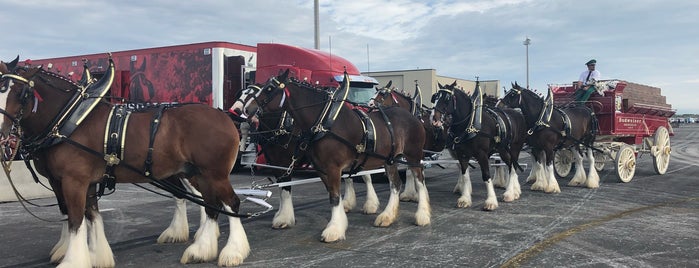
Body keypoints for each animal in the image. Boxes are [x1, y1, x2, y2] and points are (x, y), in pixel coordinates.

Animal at [0, 56, 250, 266]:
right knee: (211, 205)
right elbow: (89, 215)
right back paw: (201, 249)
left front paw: (72, 260)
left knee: (230, 203)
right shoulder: (75, 181)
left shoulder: (74, 180)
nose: (3, 134)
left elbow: (76, 218)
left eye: (20, 93)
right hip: (195, 173)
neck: (69, 119)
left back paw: (232, 252)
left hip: (214, 173)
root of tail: (224, 115)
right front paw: (96, 255)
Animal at [246, 70, 432, 242]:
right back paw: (387, 216)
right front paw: (340, 222)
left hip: (413, 156)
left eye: (269, 88)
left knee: (419, 180)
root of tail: (413, 118)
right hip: (390, 160)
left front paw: (333, 229)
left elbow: (334, 197)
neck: (325, 121)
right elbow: (331, 194)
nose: (247, 109)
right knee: (395, 184)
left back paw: (422, 216)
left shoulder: (332, 167)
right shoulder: (321, 169)